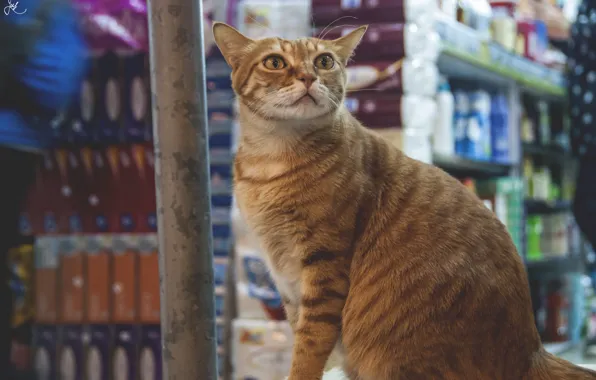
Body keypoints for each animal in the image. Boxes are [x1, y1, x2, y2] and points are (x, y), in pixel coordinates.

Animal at [214, 22, 596, 378]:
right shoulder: (287, 281)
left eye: (324, 61)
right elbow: (300, 332)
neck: (271, 158)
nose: (308, 77)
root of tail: (531, 351)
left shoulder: (324, 266)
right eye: (274, 62)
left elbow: (310, 347)